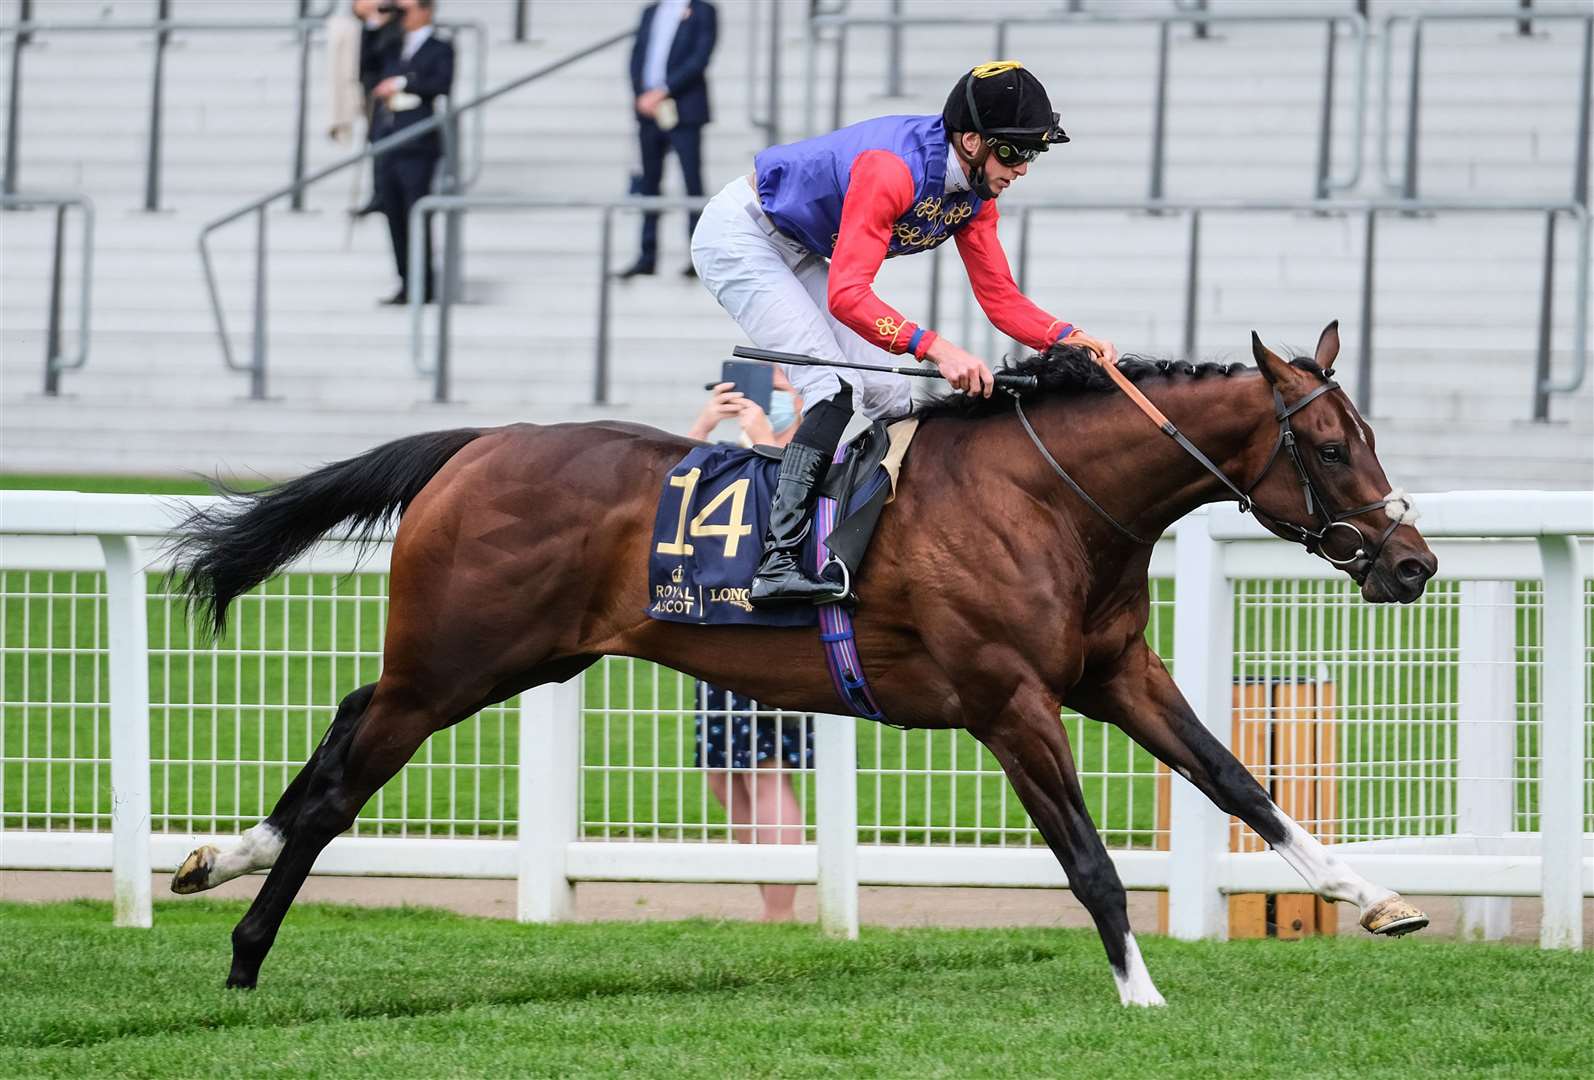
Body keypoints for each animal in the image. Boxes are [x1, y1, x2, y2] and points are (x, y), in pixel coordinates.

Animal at [171, 321, 1434, 1006]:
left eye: (1371, 437)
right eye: (1331, 447)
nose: (1412, 563)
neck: (1050, 501)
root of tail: (475, 445)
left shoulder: (1115, 673)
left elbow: (1239, 783)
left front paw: (1372, 897)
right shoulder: (1009, 701)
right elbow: (1088, 859)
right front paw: (1141, 992)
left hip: (508, 660)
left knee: (345, 724)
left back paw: (222, 870)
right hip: (453, 664)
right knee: (340, 787)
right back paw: (237, 952)